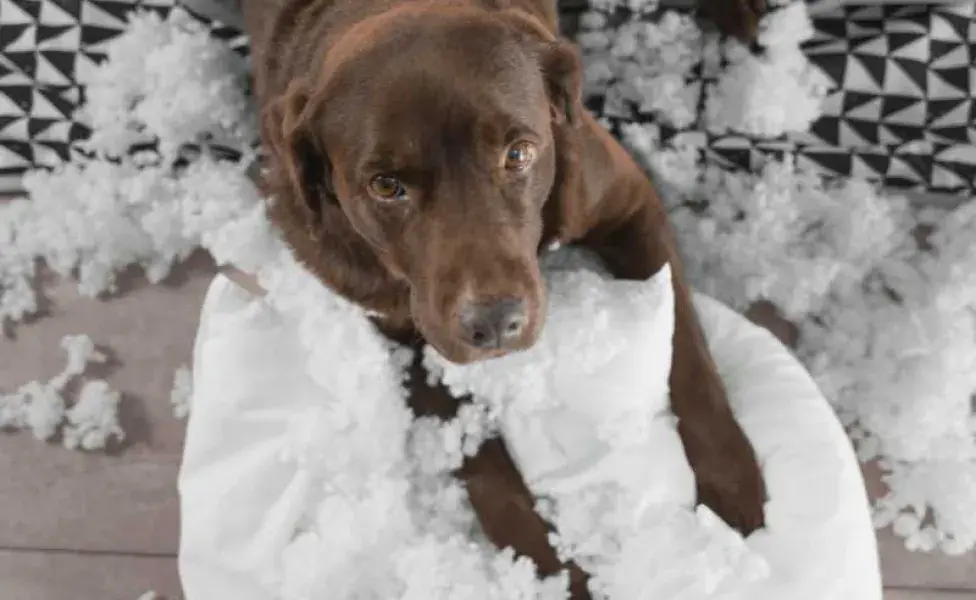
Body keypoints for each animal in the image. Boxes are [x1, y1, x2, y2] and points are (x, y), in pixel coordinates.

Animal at [240, 2, 768, 596]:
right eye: (385, 186)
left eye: (519, 153)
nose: (495, 323)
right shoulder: (401, 328)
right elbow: (484, 469)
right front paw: (555, 577)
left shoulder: (627, 200)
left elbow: (685, 344)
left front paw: (729, 473)